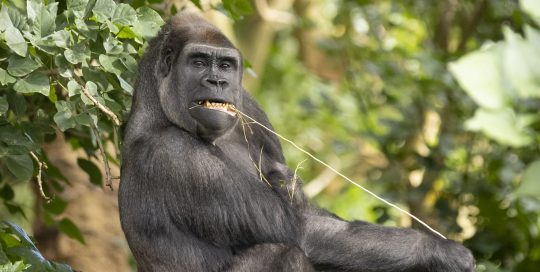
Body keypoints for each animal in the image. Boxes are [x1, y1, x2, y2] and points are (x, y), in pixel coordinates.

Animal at [120, 12, 474, 272]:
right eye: (197, 62)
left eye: (225, 65)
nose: (217, 81)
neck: (157, 103)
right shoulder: (176, 156)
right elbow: (299, 230)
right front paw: (439, 252)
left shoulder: (249, 105)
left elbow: (300, 204)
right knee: (283, 252)